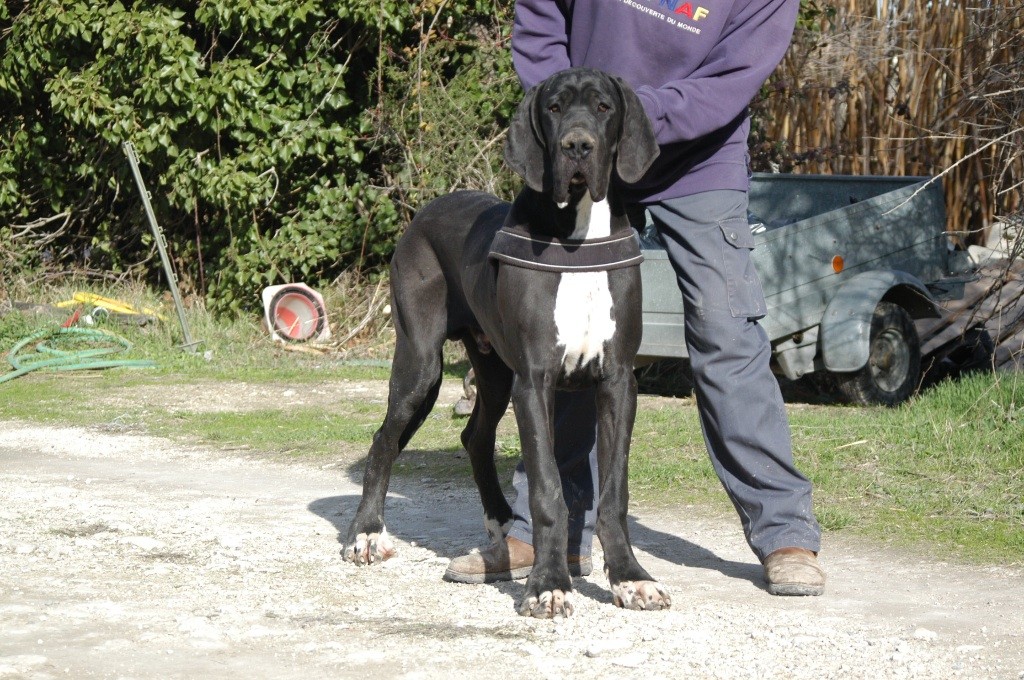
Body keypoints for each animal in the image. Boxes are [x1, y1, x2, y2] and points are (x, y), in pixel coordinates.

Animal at [341, 68, 671, 618]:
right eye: (554, 107)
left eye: (604, 107)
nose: (577, 146)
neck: (578, 234)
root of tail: (429, 208)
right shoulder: (535, 381)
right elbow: (548, 490)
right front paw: (549, 584)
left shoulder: (618, 382)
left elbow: (614, 492)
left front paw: (630, 578)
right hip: (421, 364)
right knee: (384, 439)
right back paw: (367, 533)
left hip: (493, 373)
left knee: (474, 435)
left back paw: (497, 518)